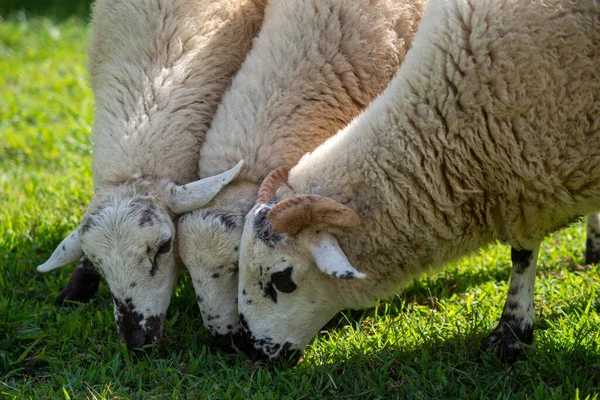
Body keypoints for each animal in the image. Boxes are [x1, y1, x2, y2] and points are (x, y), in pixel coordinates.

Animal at [236, 0, 600, 362]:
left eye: (283, 279)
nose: (250, 350)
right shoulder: (527, 177)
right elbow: (523, 250)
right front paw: (513, 329)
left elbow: (522, 254)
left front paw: (510, 333)